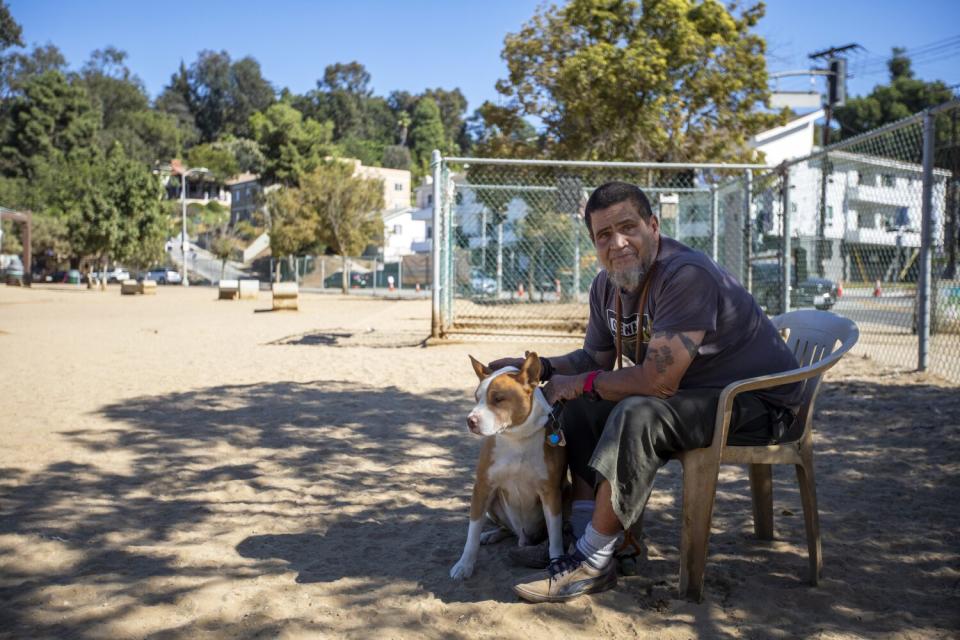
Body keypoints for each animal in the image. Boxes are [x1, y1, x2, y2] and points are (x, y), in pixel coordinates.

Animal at [452, 350, 568, 580]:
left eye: (498, 399)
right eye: (476, 398)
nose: (470, 420)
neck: (517, 438)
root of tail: (523, 538)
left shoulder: (551, 492)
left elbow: (556, 536)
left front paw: (557, 562)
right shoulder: (482, 487)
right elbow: (472, 533)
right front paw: (464, 565)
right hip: (493, 501)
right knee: (504, 529)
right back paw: (491, 535)